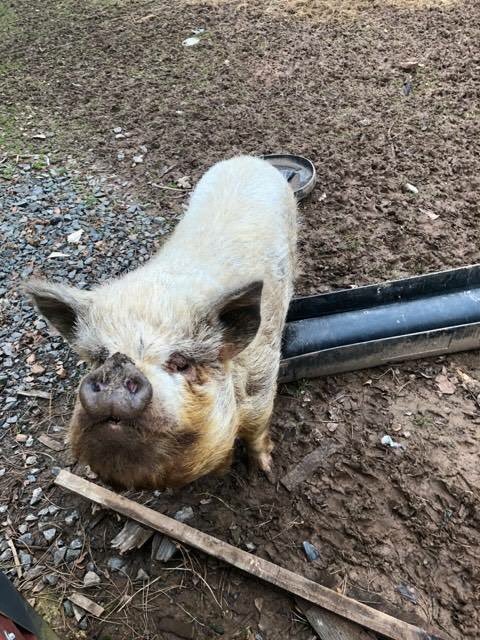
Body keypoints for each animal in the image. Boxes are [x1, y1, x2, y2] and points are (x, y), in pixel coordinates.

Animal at [24, 155, 297, 490]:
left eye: (180, 362)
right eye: (100, 358)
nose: (119, 364)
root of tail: (248, 160)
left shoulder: (262, 383)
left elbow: (257, 430)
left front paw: (267, 472)